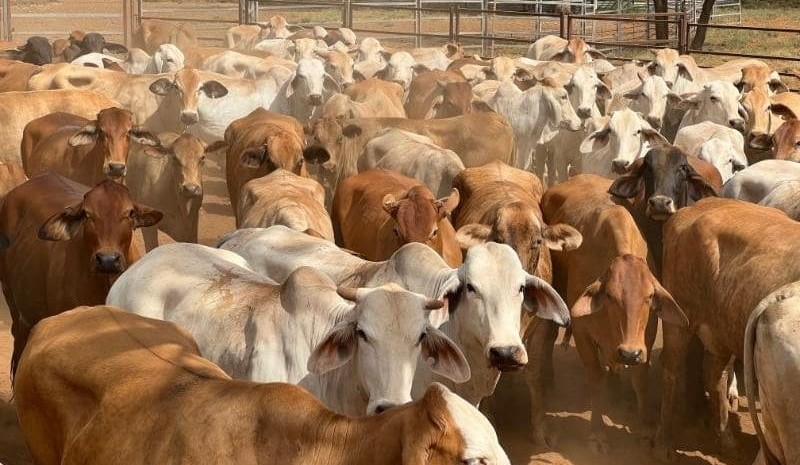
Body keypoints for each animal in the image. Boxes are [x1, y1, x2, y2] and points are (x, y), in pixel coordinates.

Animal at [541, 174, 687, 452]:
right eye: (609, 296)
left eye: (649, 297)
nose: (628, 353)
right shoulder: (583, 334)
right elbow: (596, 379)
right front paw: (597, 433)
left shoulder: (645, 337)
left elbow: (640, 378)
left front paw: (645, 429)